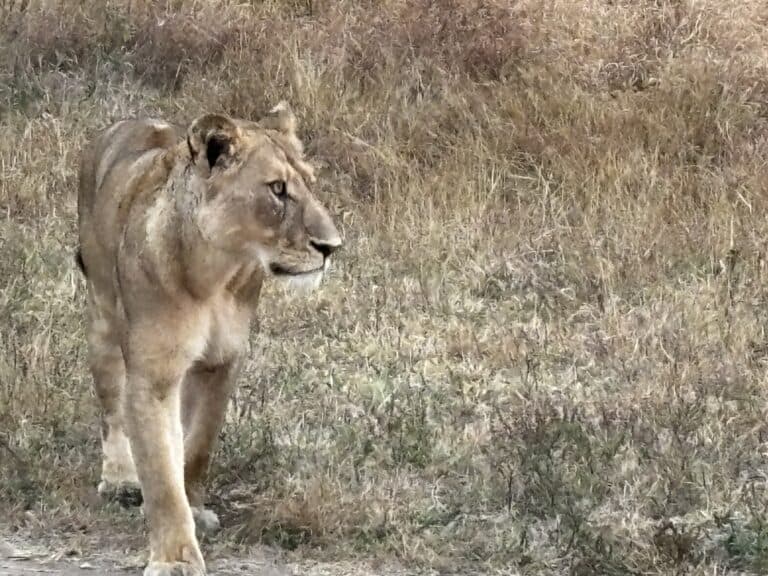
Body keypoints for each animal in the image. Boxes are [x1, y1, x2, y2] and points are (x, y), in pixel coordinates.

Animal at [76, 102, 342, 576]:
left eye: (309, 184)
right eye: (277, 189)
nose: (331, 247)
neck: (215, 273)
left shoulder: (223, 360)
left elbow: (197, 445)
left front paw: (195, 508)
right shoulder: (153, 375)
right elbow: (160, 474)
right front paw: (175, 557)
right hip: (103, 319)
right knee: (111, 410)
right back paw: (120, 479)